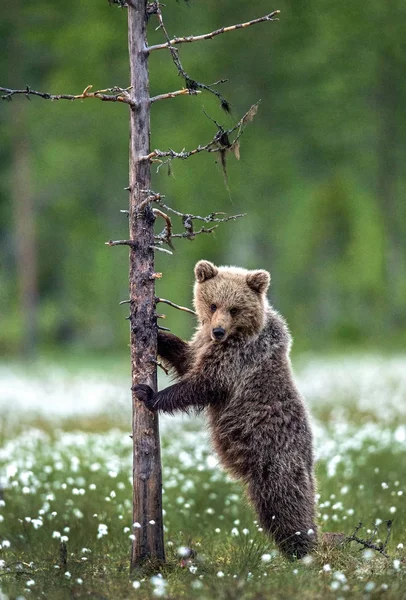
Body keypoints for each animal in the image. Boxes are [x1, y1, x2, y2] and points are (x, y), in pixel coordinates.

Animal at [135, 260, 318, 560]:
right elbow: (187, 358)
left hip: (275, 459)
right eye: (213, 304)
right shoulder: (203, 344)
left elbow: (204, 383)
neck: (238, 334)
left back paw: (303, 550)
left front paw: (149, 394)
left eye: (234, 308)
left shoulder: (238, 359)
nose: (218, 331)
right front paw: (155, 333)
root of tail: (310, 454)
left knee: (285, 504)